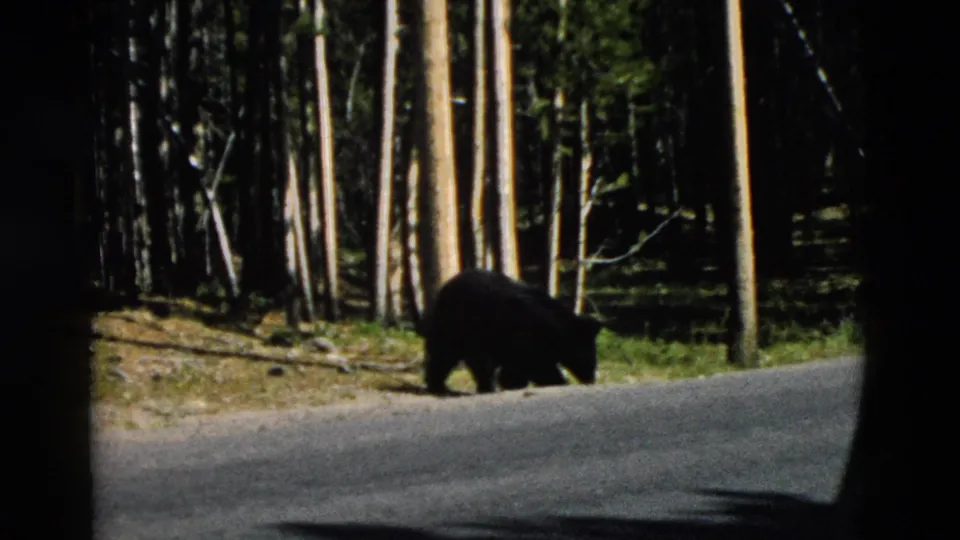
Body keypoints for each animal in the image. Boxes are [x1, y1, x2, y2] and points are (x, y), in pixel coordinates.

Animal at [419, 268, 603, 396]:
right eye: (589, 356)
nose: (591, 379)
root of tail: (445, 288)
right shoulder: (525, 335)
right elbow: (538, 365)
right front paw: (559, 381)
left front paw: (513, 383)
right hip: (459, 326)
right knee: (448, 354)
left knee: (445, 356)